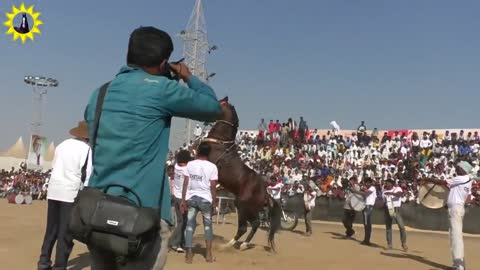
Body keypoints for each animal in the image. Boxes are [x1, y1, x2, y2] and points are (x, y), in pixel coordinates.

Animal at [202, 96, 282, 251]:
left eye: (219, 102)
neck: (221, 141)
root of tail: (265, 193)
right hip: (248, 208)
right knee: (255, 224)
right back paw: (243, 244)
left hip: (243, 206)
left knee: (245, 227)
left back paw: (229, 245)